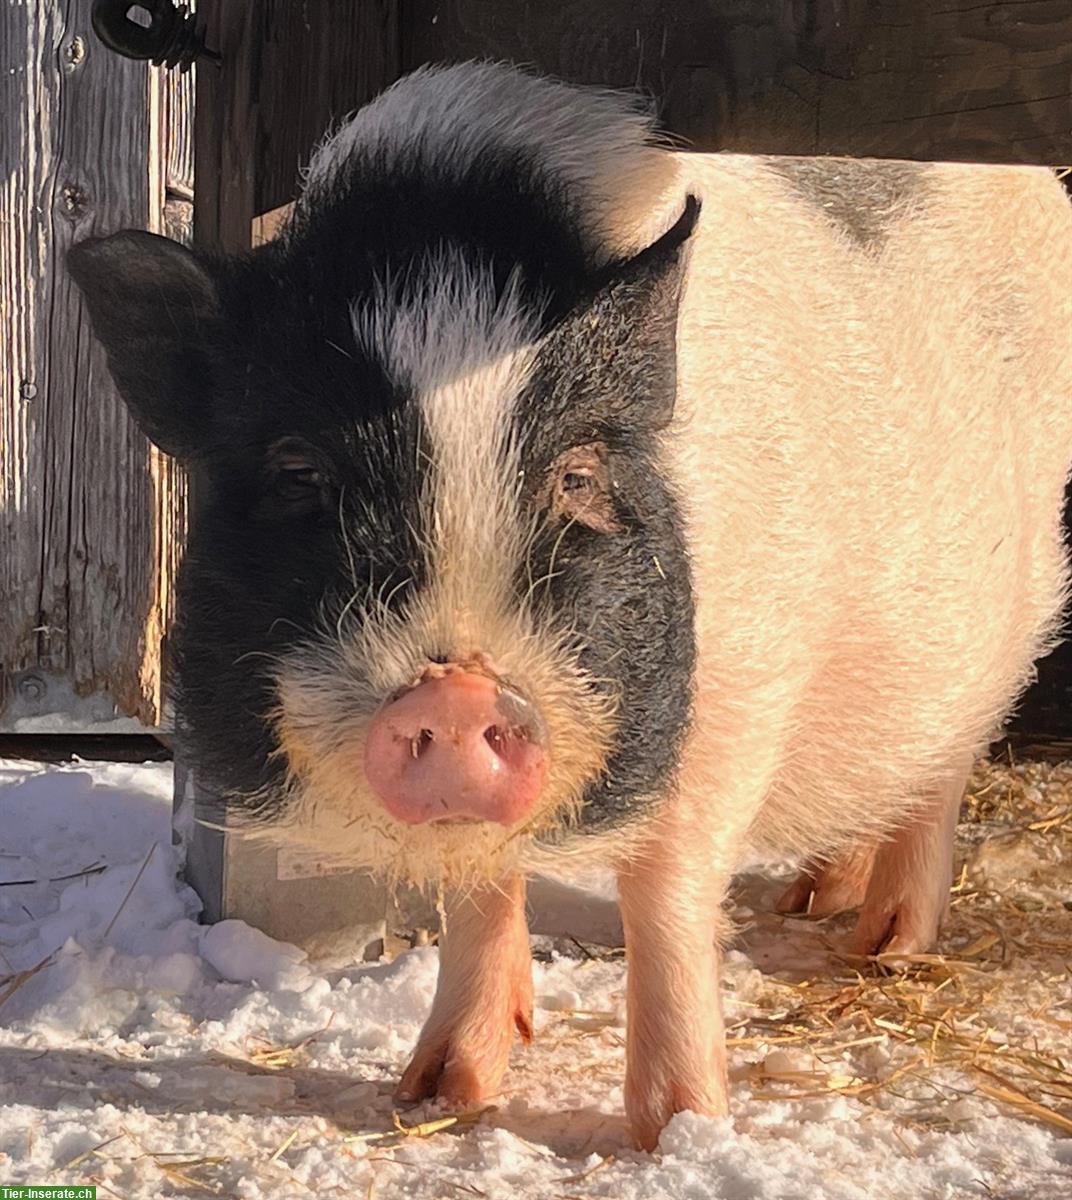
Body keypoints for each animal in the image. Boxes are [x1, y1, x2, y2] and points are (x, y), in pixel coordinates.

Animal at [68, 61, 1072, 1150]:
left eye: (579, 474)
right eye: (299, 469)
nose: (455, 690)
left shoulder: (743, 691)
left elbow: (664, 891)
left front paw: (677, 1132)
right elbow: (477, 889)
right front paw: (438, 1095)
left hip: (1006, 610)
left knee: (943, 766)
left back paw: (884, 947)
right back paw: (816, 899)